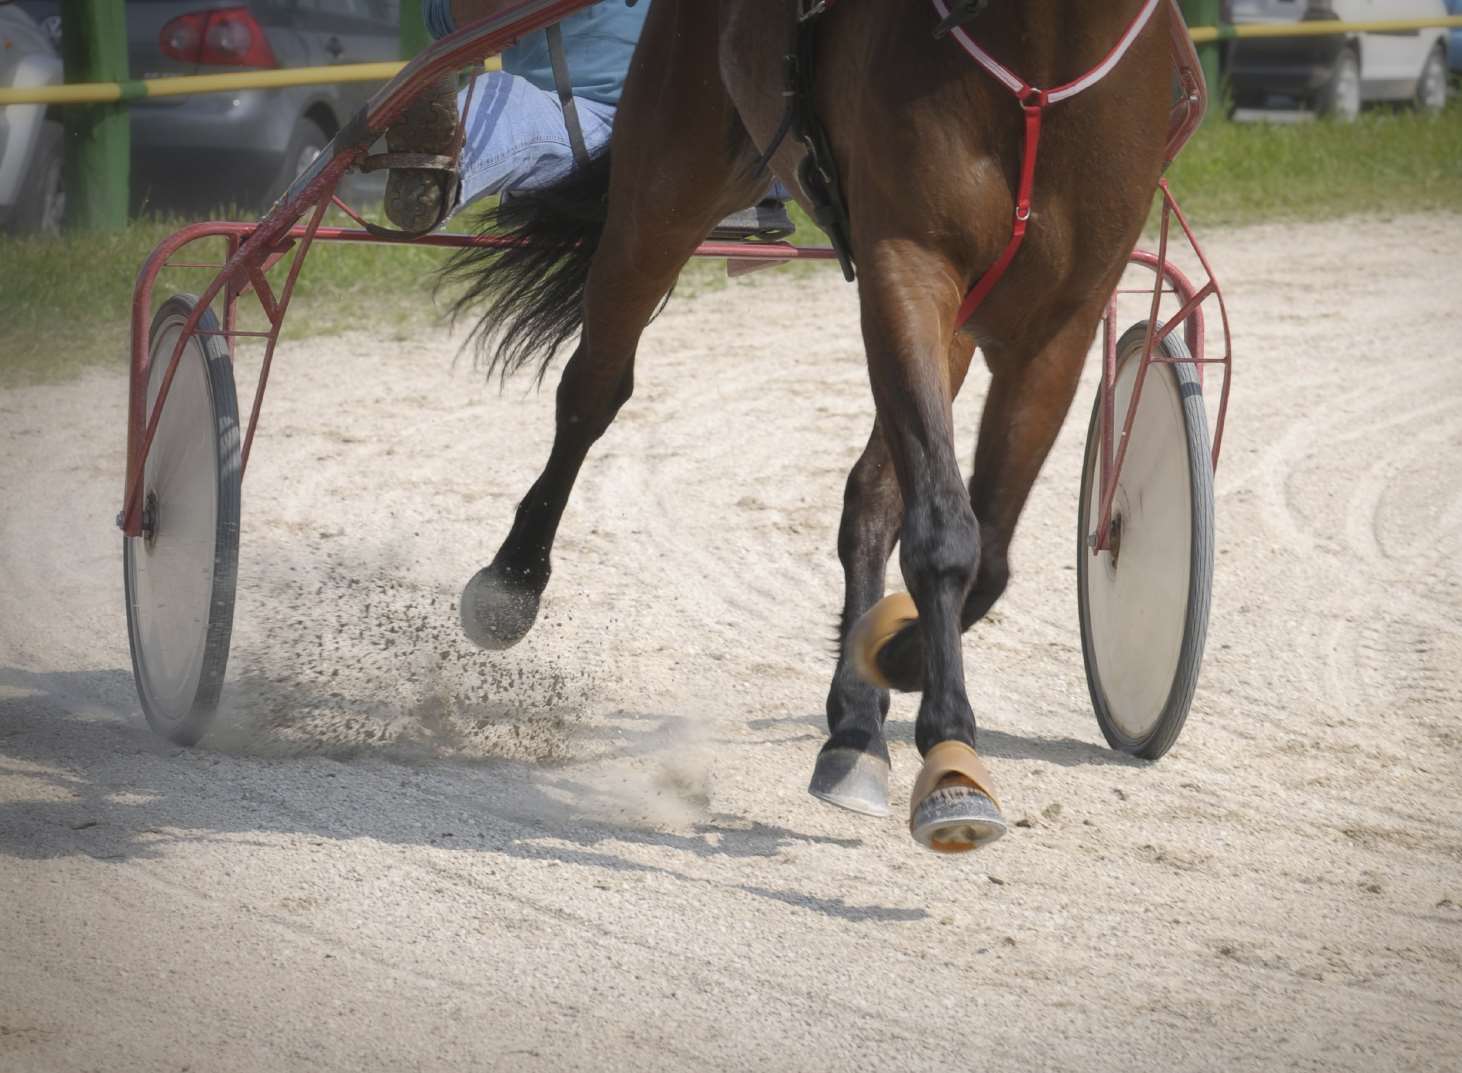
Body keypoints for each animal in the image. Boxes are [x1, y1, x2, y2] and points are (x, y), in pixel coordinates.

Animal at [441, 2, 1175, 859]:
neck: (1041, 62)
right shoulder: (905, 262)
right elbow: (945, 535)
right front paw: (950, 752)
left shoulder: (1059, 322)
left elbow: (986, 555)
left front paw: (893, 660)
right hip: (667, 180)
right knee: (594, 387)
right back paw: (513, 578)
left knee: (873, 496)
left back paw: (856, 726)